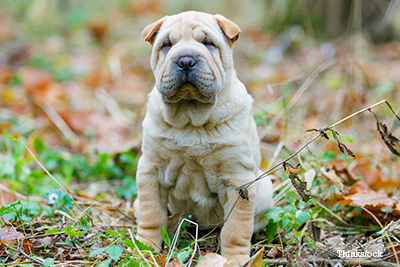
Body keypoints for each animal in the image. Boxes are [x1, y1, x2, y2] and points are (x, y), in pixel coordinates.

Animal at [136, 10, 274, 266]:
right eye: (166, 45)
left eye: (209, 43)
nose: (185, 60)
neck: (191, 117)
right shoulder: (150, 168)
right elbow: (151, 214)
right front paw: (145, 247)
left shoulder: (238, 178)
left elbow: (237, 228)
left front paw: (235, 259)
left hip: (264, 188)